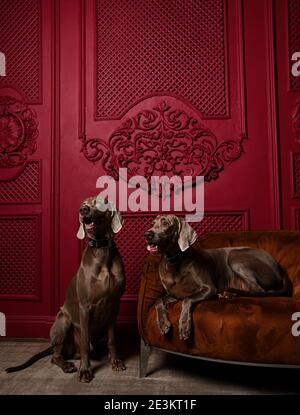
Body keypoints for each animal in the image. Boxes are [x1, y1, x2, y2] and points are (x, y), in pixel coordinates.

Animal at [6, 195, 125, 384]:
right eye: (84, 203)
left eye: (99, 202)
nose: (83, 210)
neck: (101, 251)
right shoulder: (85, 306)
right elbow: (84, 343)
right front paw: (85, 371)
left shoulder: (114, 305)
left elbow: (112, 340)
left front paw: (116, 361)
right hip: (63, 322)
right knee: (56, 355)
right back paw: (67, 365)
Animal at [144, 214, 292, 342]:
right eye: (152, 223)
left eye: (165, 223)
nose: (147, 234)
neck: (174, 261)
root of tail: (280, 269)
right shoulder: (175, 294)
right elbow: (158, 300)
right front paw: (163, 324)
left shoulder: (209, 288)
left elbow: (187, 300)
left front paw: (185, 326)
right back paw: (228, 294)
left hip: (236, 257)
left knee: (260, 291)